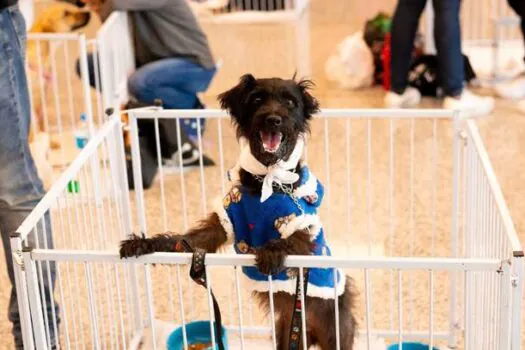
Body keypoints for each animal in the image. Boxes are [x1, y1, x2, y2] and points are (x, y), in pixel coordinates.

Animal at [118, 74, 356, 350]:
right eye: (257, 99)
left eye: (290, 102)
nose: (273, 119)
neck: (268, 180)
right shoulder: (222, 222)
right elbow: (182, 241)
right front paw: (142, 244)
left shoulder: (303, 227)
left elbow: (291, 241)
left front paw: (271, 253)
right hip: (287, 334)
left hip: (335, 331)